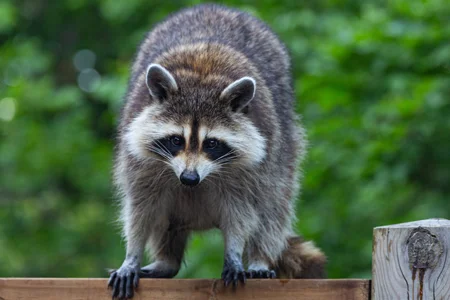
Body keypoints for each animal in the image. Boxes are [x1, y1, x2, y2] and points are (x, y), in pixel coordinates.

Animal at [109, 3, 326, 298]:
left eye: (211, 143)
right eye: (176, 140)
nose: (189, 178)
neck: (202, 75)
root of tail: (216, 7)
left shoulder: (251, 168)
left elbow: (242, 210)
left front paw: (234, 252)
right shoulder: (139, 161)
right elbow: (141, 208)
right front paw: (131, 255)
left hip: (285, 146)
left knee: (273, 205)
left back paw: (259, 258)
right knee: (165, 219)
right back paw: (167, 260)